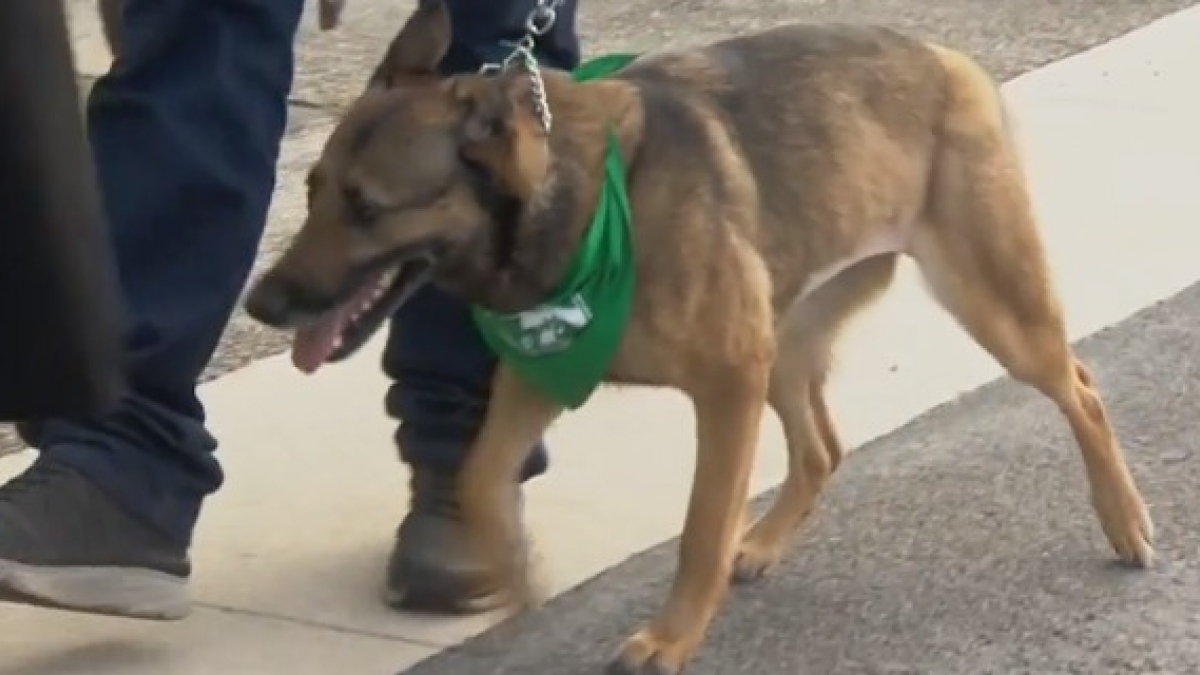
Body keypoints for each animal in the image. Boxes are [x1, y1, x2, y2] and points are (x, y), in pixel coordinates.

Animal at [241, 2, 1152, 667]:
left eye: (367, 206)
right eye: (311, 191)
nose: (261, 301)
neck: (583, 198)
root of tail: (943, 56)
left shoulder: (726, 385)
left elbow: (700, 528)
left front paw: (671, 635)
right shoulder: (535, 376)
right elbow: (477, 475)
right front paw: (512, 572)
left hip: (990, 308)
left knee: (1080, 388)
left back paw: (1124, 521)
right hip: (787, 340)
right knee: (821, 447)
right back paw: (768, 541)